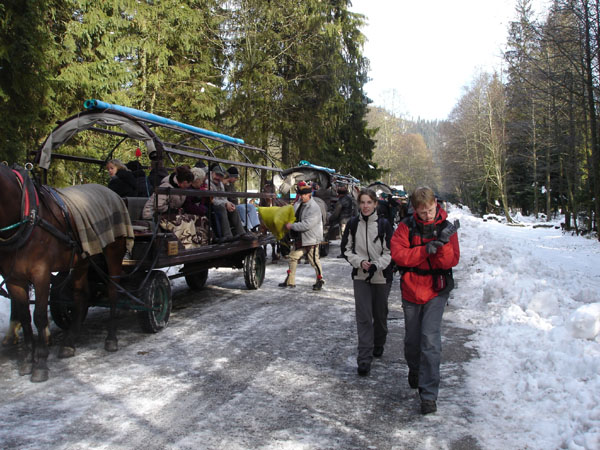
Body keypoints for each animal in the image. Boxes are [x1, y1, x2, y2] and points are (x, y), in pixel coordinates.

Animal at [0, 163, 126, 382]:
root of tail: (112, 193)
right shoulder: (13, 279)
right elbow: (24, 315)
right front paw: (27, 359)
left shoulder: (41, 273)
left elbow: (39, 316)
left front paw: (40, 364)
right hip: (83, 259)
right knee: (81, 295)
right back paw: (69, 342)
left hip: (113, 253)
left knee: (112, 292)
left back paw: (111, 338)